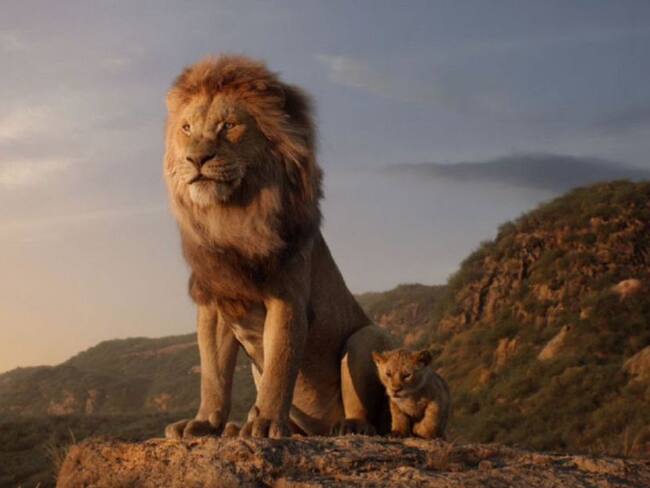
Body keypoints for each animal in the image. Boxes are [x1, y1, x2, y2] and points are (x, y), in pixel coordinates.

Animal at [162, 55, 394, 439]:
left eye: (229, 125)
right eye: (186, 128)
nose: (197, 159)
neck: (232, 217)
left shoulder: (287, 298)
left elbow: (280, 367)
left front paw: (267, 423)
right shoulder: (215, 303)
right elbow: (213, 374)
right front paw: (205, 422)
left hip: (366, 337)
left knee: (369, 412)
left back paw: (349, 426)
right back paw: (238, 427)